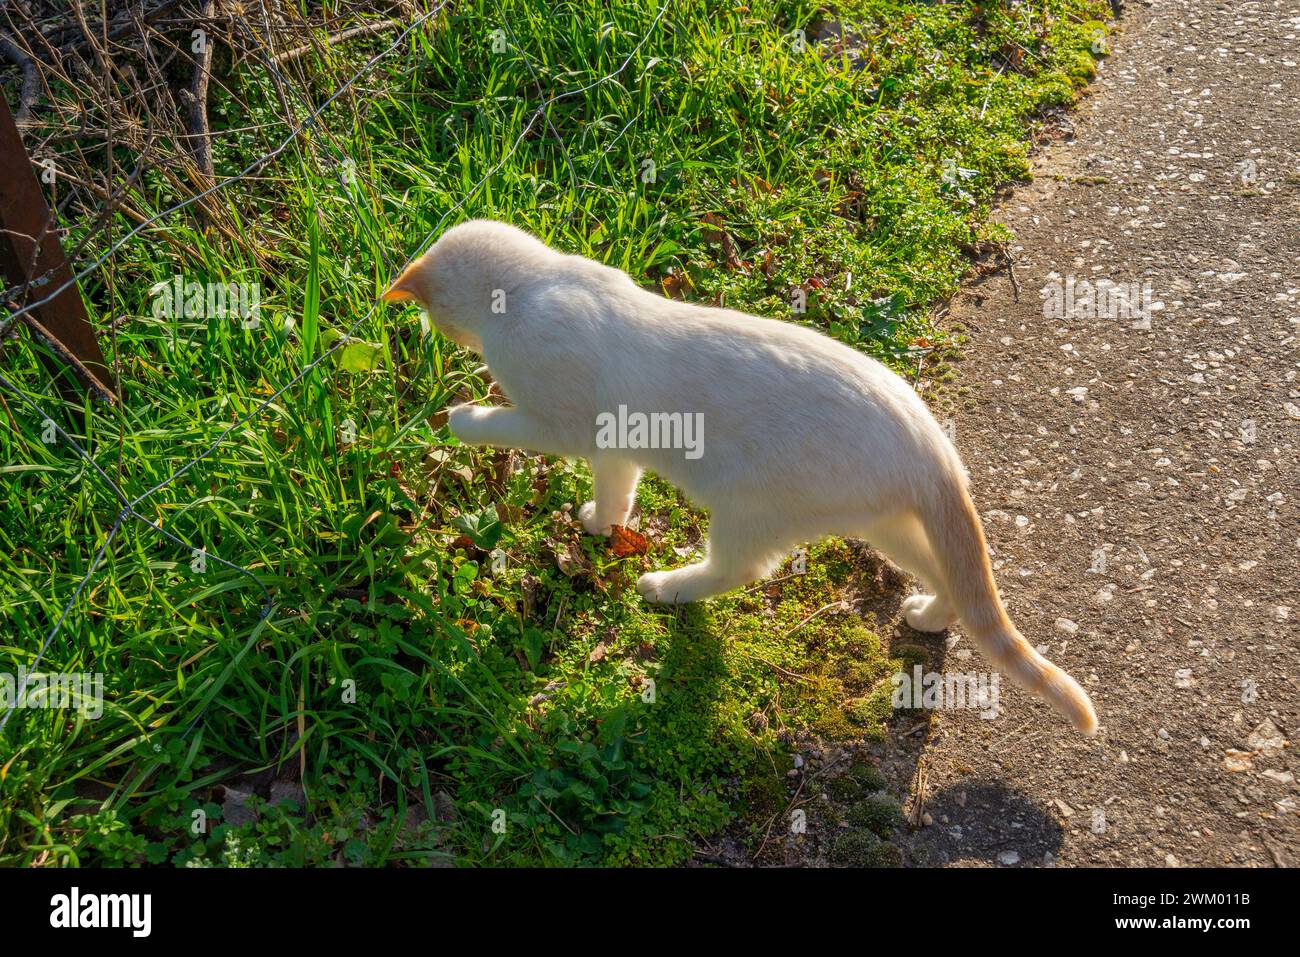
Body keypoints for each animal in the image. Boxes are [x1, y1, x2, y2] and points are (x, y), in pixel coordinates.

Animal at [382, 222, 1097, 733]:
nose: (430, 336)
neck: (535, 284)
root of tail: (931, 444)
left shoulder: (562, 425)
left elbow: (502, 426)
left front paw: (460, 418)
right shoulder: (616, 447)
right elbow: (615, 493)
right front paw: (600, 524)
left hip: (749, 508)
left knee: (738, 569)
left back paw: (666, 586)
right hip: (885, 523)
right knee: (952, 575)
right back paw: (929, 613)